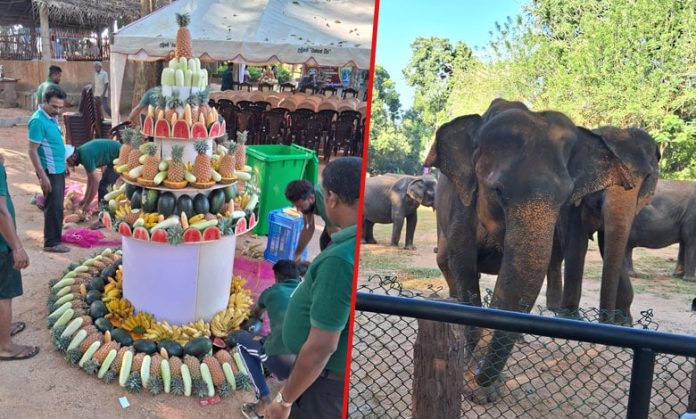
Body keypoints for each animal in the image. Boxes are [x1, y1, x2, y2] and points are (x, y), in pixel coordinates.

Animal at [544, 127, 660, 322]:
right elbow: (577, 245)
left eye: (647, 176)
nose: (604, 320)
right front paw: (572, 318)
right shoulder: (573, 199)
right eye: (603, 175)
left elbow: (607, 246)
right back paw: (555, 308)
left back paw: (553, 307)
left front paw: (623, 323)